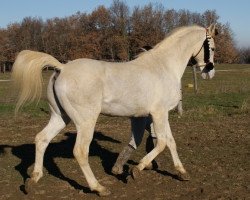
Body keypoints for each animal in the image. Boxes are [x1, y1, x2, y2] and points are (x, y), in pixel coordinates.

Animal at [12, 24, 217, 196]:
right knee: (80, 151)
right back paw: (99, 188)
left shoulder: (160, 115)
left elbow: (171, 142)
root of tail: (62, 68)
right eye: (213, 48)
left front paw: (182, 172)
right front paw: (136, 170)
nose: (209, 72)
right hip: (85, 121)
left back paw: (33, 180)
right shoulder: (159, 113)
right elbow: (162, 143)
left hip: (60, 117)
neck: (164, 66)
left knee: (41, 139)